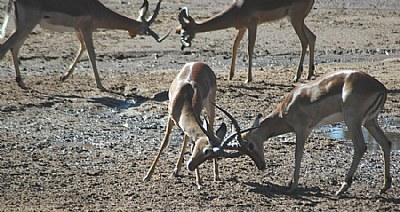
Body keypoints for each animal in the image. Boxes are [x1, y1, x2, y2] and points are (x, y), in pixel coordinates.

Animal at [0, 0, 169, 90]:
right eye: (145, 29)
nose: (132, 34)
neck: (96, 10)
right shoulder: (86, 30)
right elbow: (92, 54)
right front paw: (100, 85)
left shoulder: (79, 30)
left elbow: (82, 49)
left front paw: (64, 76)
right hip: (27, 25)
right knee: (5, 47)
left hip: (24, 27)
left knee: (14, 48)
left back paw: (21, 82)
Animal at [177, 0, 318, 83]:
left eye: (185, 30)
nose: (183, 47)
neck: (240, 7)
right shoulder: (242, 28)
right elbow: (235, 45)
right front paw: (230, 76)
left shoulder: (252, 25)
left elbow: (250, 48)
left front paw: (248, 79)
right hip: (295, 20)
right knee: (312, 37)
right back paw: (309, 74)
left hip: (295, 19)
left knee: (304, 41)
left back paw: (297, 76)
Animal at [209, 71, 394, 195]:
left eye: (251, 145)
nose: (261, 166)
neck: (288, 106)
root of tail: (380, 88)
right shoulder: (309, 128)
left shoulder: (301, 128)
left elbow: (298, 154)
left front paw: (292, 185)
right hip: (370, 121)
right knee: (386, 143)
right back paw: (384, 186)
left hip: (353, 120)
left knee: (361, 146)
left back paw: (342, 188)